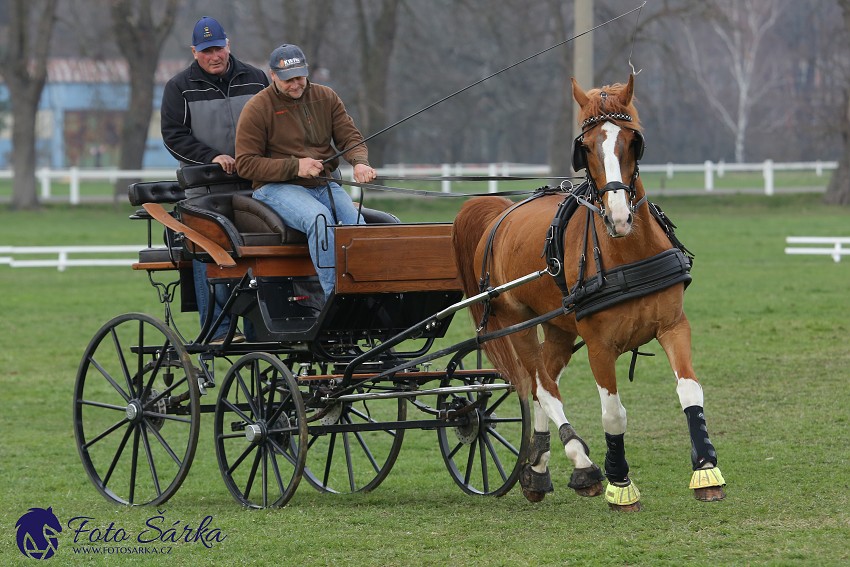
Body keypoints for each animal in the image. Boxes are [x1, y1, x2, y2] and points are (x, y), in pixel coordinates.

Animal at [450, 74, 724, 510]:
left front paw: (706, 472)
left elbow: (689, 391)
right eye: (587, 147)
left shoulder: (673, 326)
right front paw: (620, 484)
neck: (626, 252)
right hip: (517, 322)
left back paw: (538, 467)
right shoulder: (599, 346)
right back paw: (581, 462)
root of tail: (500, 215)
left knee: (544, 379)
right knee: (540, 384)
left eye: (632, 141)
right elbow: (613, 413)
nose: (618, 216)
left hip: (559, 328)